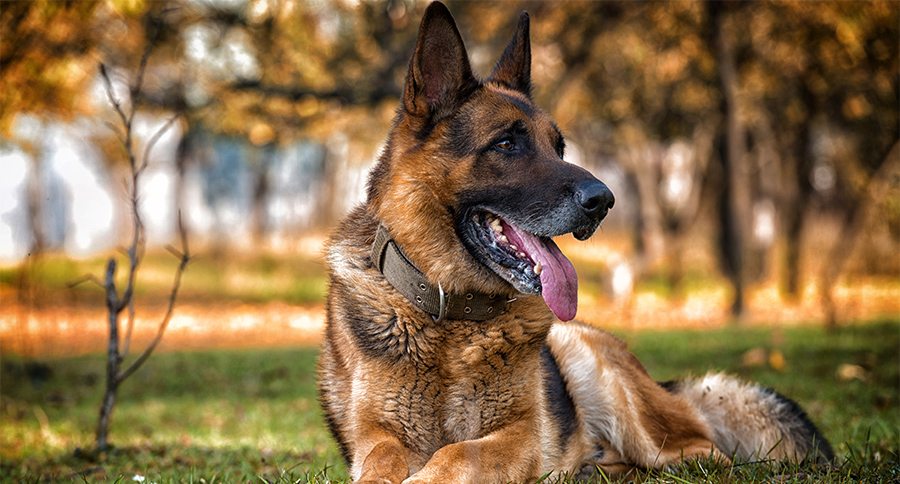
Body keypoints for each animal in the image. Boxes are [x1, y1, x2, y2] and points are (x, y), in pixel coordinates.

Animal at [320, 2, 832, 480]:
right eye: (506, 144)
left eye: (559, 147)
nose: (603, 201)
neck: (453, 317)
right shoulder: (377, 436)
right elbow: (382, 460)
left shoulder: (520, 436)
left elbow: (457, 453)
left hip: (609, 384)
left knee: (704, 452)